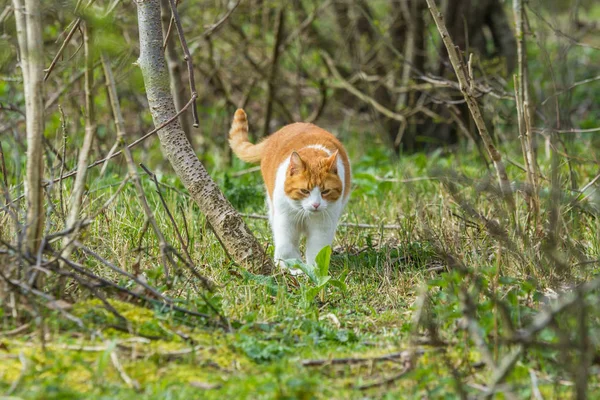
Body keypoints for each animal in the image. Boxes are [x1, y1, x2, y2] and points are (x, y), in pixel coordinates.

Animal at [230, 108, 352, 272]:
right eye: (304, 191)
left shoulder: (323, 225)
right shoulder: (285, 219)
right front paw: (290, 267)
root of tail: (273, 136)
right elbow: (286, 245)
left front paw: (314, 270)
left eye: (325, 192)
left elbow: (317, 250)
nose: (316, 205)